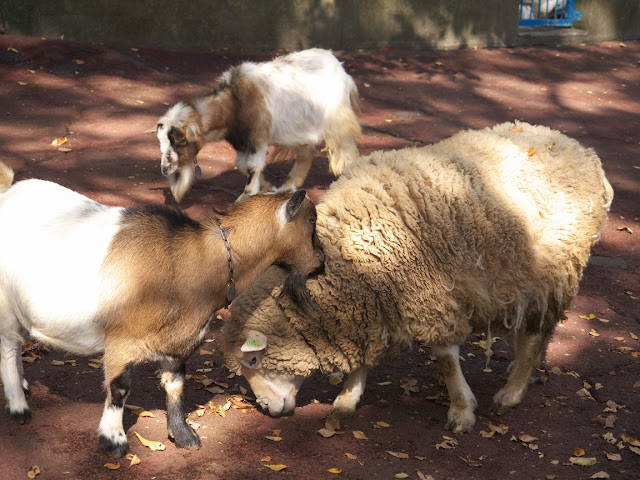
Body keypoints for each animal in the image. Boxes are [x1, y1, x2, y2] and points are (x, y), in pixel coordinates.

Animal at [0, 162, 322, 458]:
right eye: (311, 221)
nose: (321, 261)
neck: (197, 259)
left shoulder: (178, 341)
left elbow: (176, 385)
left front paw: (183, 435)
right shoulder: (121, 340)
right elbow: (119, 387)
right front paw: (113, 440)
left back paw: (24, 387)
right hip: (5, 305)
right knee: (9, 347)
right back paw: (18, 406)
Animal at [156, 48, 360, 204]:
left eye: (181, 141)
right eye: (161, 143)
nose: (164, 169)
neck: (234, 102)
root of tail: (340, 68)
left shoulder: (258, 139)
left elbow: (253, 167)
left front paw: (246, 197)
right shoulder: (243, 143)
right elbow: (242, 165)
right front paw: (267, 186)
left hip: (337, 121)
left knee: (348, 152)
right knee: (306, 154)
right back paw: (287, 187)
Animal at [222, 122, 612, 434]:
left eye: (253, 361)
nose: (266, 410)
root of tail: (577, 148)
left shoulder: (432, 295)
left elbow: (446, 359)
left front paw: (461, 410)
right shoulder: (374, 298)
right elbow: (365, 354)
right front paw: (348, 398)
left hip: (552, 271)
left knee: (534, 332)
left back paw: (512, 391)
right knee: (536, 330)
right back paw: (520, 370)